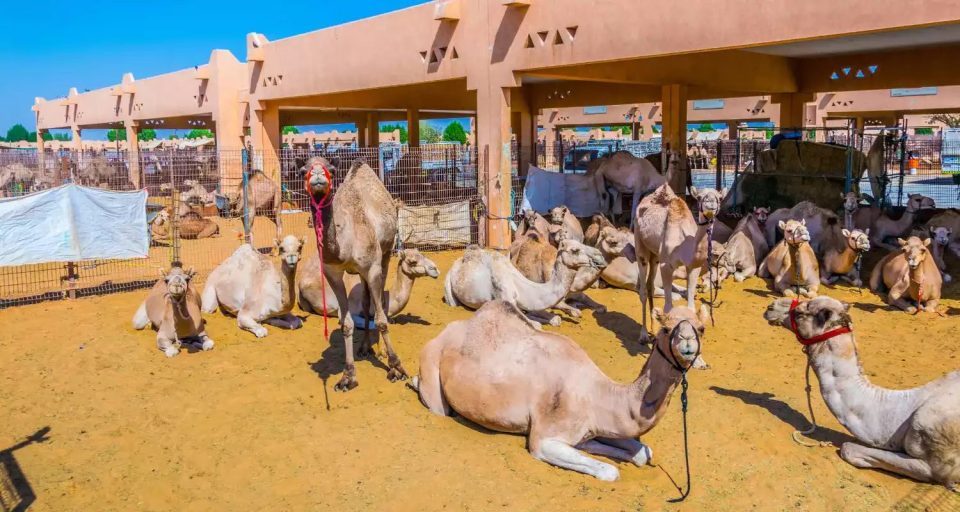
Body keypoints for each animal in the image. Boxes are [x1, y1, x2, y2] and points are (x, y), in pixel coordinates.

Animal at [306, 158, 405, 392]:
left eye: (331, 170)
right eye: (303, 169)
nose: (317, 177)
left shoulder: (373, 268)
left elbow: (382, 319)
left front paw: (395, 367)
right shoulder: (332, 273)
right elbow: (347, 323)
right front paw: (348, 376)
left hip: (385, 254)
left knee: (380, 301)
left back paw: (382, 350)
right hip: (362, 272)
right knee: (367, 300)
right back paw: (365, 347)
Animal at [413, 300, 709, 481]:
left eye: (702, 328)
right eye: (666, 328)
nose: (687, 345)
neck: (596, 394)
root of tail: (448, 330)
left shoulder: (597, 426)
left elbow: (642, 452)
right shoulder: (544, 439)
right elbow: (610, 472)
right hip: (432, 365)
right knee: (438, 405)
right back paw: (413, 381)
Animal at [443, 240, 603, 327]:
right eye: (575, 250)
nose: (599, 258)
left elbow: (554, 318)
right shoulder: (505, 297)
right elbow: (535, 324)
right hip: (448, 287)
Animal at [633, 183, 726, 341]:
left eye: (719, 198)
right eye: (699, 197)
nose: (711, 204)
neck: (684, 246)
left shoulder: (693, 267)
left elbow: (690, 306)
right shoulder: (666, 266)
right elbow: (668, 307)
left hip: (655, 255)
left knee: (651, 285)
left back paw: (653, 329)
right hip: (640, 243)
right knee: (643, 290)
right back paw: (643, 335)